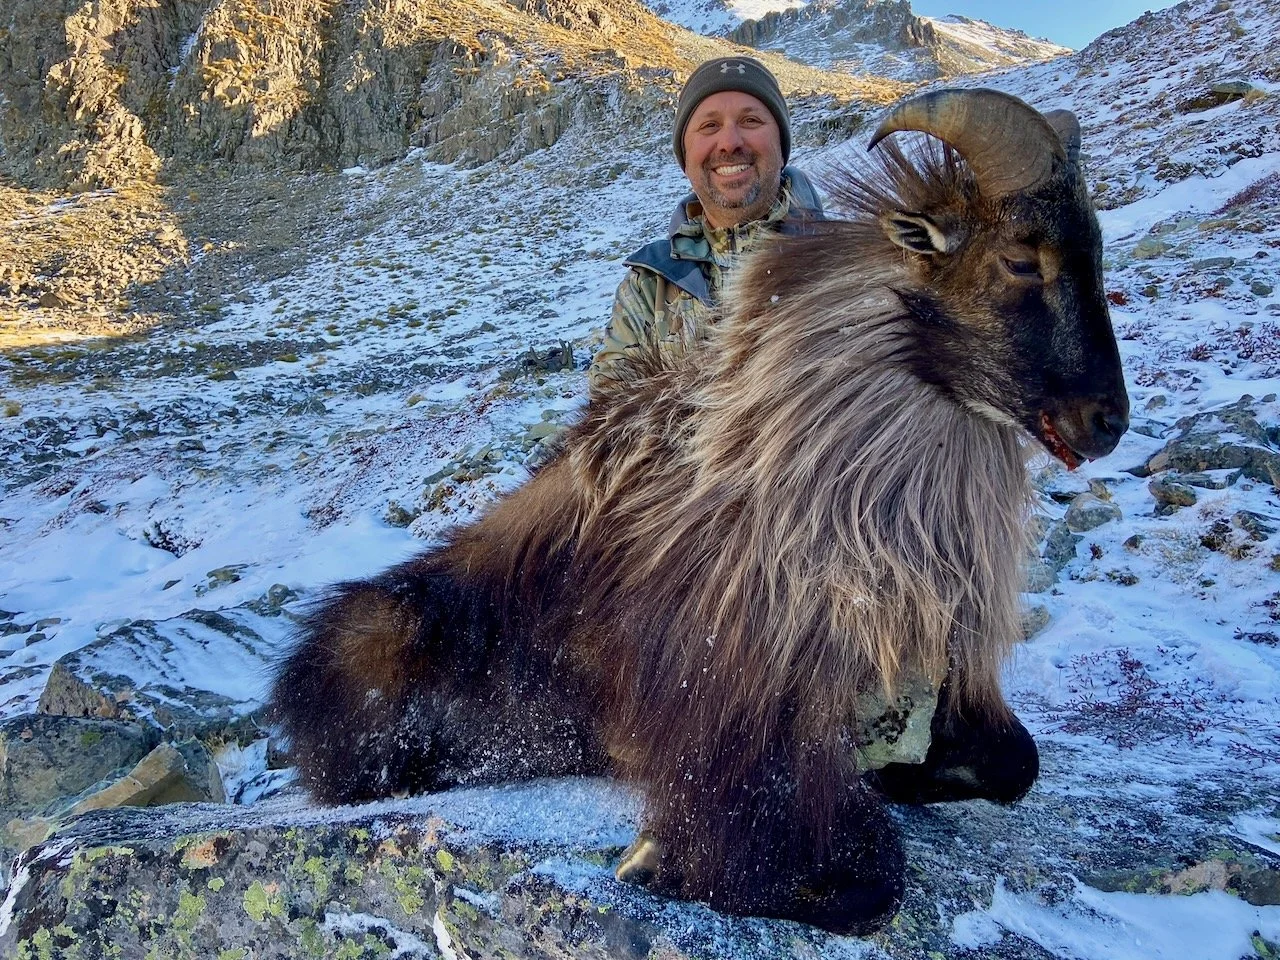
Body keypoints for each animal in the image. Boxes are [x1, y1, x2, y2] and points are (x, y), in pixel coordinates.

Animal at [269, 88, 1129, 935]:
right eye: (1020, 259)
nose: (1107, 420)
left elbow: (1013, 764)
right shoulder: (730, 719)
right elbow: (862, 880)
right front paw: (657, 861)